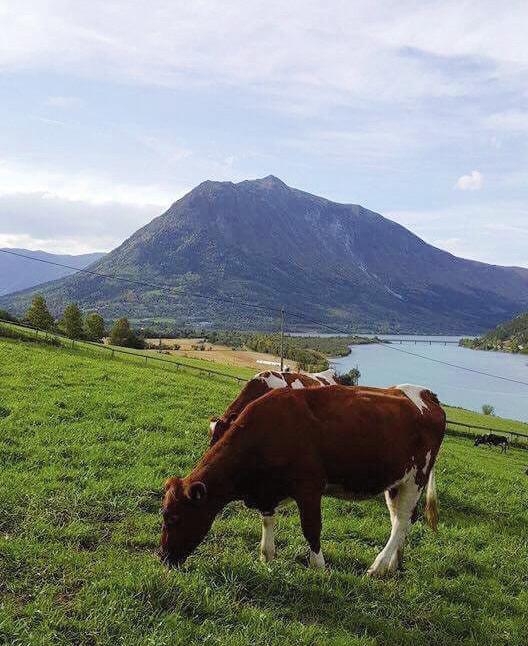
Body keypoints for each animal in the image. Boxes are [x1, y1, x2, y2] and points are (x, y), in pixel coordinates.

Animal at [161, 384, 446, 576]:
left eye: (174, 518)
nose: (163, 558)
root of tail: (425, 394)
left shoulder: (309, 488)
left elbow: (311, 528)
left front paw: (318, 566)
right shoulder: (268, 490)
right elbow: (267, 520)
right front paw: (267, 556)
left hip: (416, 477)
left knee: (402, 521)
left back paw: (378, 566)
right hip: (396, 482)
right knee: (401, 520)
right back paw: (394, 564)